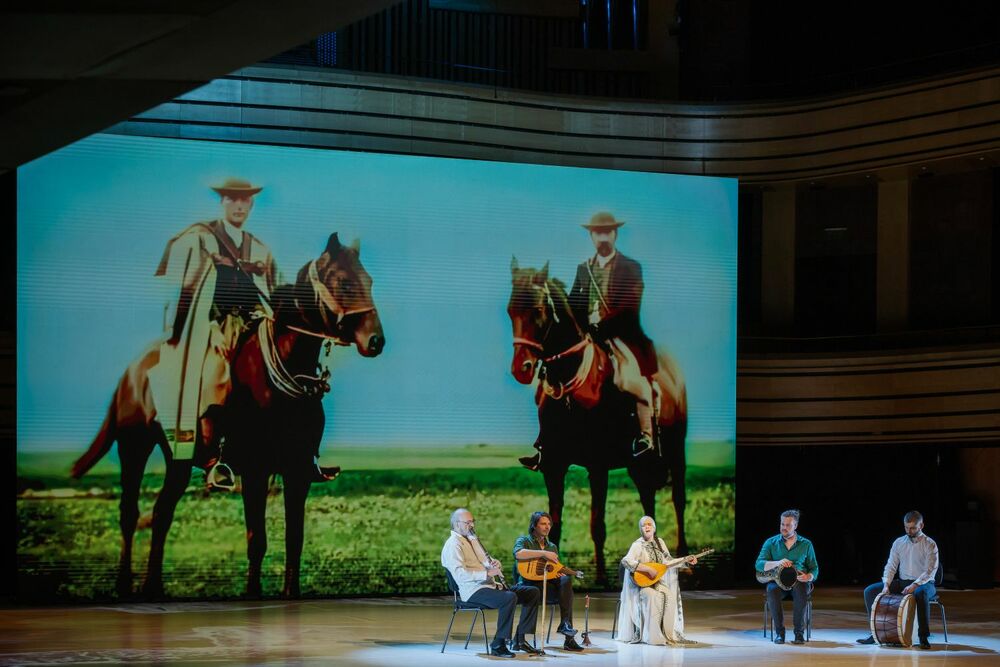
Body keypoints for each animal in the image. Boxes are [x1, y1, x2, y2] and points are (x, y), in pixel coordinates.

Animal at [70, 235, 382, 600]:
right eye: (344, 281)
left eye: (369, 281)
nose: (375, 340)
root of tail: (132, 372)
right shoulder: (256, 469)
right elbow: (257, 540)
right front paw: (252, 595)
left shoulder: (297, 471)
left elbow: (295, 539)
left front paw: (290, 595)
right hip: (134, 447)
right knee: (130, 512)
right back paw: (126, 585)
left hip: (177, 458)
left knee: (162, 512)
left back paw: (153, 587)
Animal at [508, 258, 688, 580]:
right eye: (509, 310)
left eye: (538, 310)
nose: (521, 369)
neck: (571, 391)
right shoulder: (553, 466)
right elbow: (554, 522)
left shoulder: (598, 466)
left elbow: (597, 525)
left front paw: (602, 578)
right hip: (639, 464)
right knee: (648, 500)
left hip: (676, 448)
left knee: (678, 499)